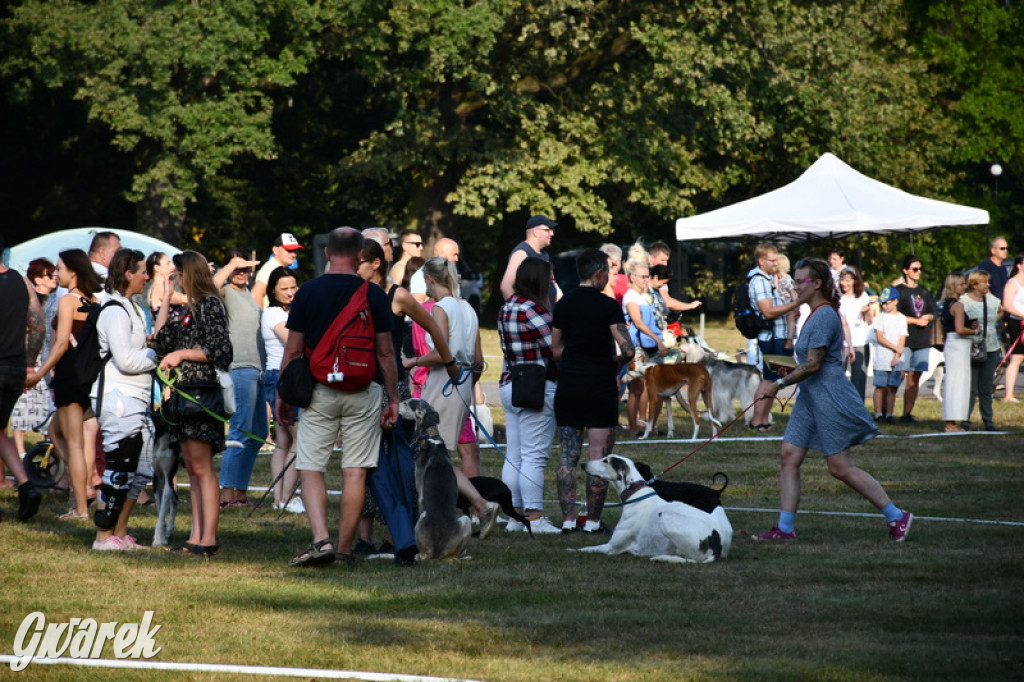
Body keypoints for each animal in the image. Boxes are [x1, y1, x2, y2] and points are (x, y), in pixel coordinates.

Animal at [397, 395, 473, 561]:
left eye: (406, 403)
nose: (393, 405)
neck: (430, 437)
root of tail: (438, 551)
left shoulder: (420, 496)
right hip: (465, 521)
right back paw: (464, 555)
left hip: (424, 519)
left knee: (422, 554)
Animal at [573, 454, 733, 561]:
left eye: (606, 461)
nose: (583, 464)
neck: (636, 496)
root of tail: (717, 543)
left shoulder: (611, 547)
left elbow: (584, 549)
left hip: (665, 517)